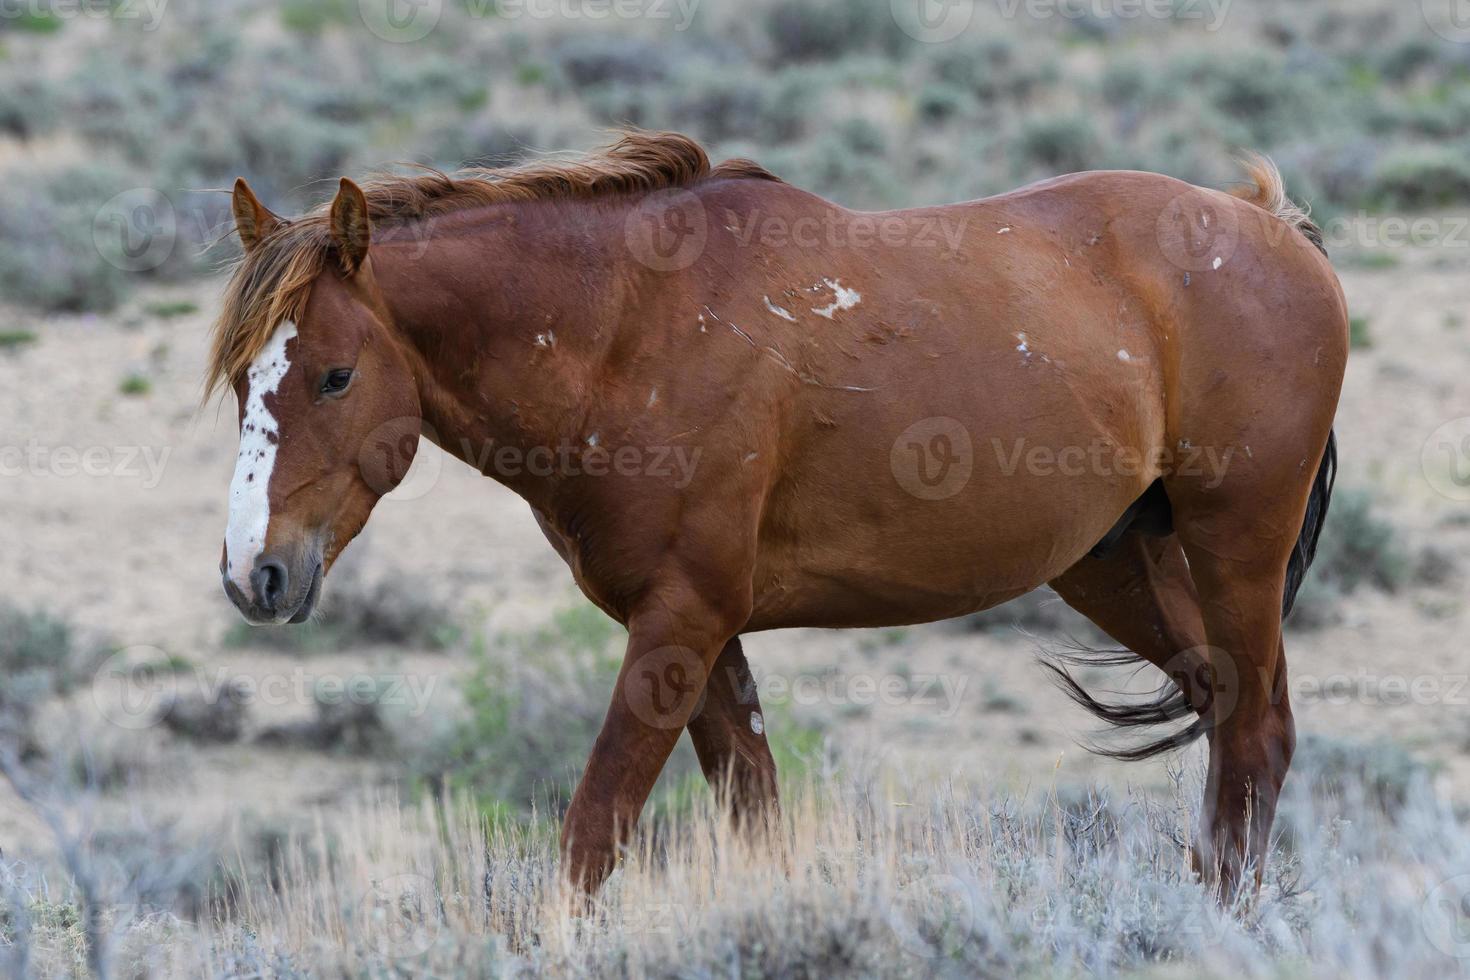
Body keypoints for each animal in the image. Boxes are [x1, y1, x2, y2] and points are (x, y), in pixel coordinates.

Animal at [207, 130, 1346, 899]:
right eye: (241, 380)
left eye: (337, 375)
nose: (255, 574)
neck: (630, 331)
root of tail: (1270, 225)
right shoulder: (703, 633)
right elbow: (752, 817)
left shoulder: (682, 623)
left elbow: (591, 836)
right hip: (1117, 563)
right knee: (1231, 722)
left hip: (1236, 547)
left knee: (1254, 736)